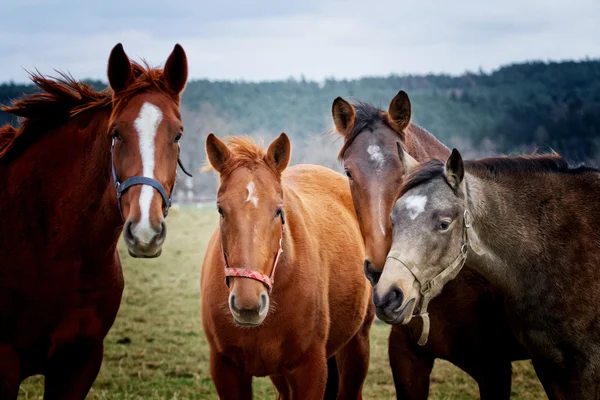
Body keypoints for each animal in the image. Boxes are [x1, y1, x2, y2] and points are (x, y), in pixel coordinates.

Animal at [199, 134, 372, 400]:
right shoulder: (225, 369)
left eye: (279, 210)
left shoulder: (310, 369)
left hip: (358, 344)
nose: (247, 305)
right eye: (220, 210)